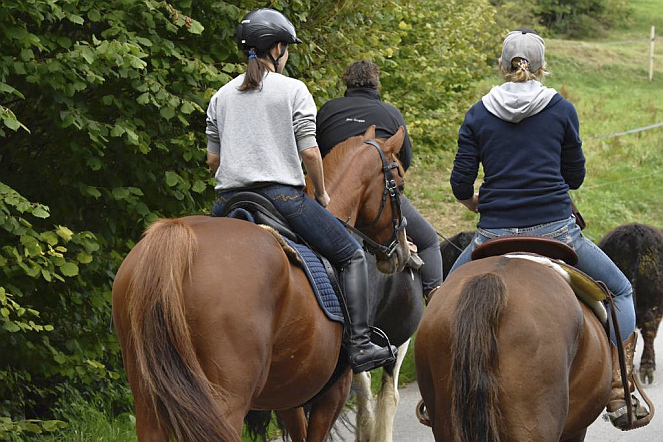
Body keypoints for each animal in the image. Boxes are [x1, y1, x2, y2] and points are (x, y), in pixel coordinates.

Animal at [111, 125, 412, 442]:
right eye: (400, 185)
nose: (402, 252)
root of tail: (178, 235)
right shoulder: (333, 393)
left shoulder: (289, 396)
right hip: (226, 401)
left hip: (149, 402)